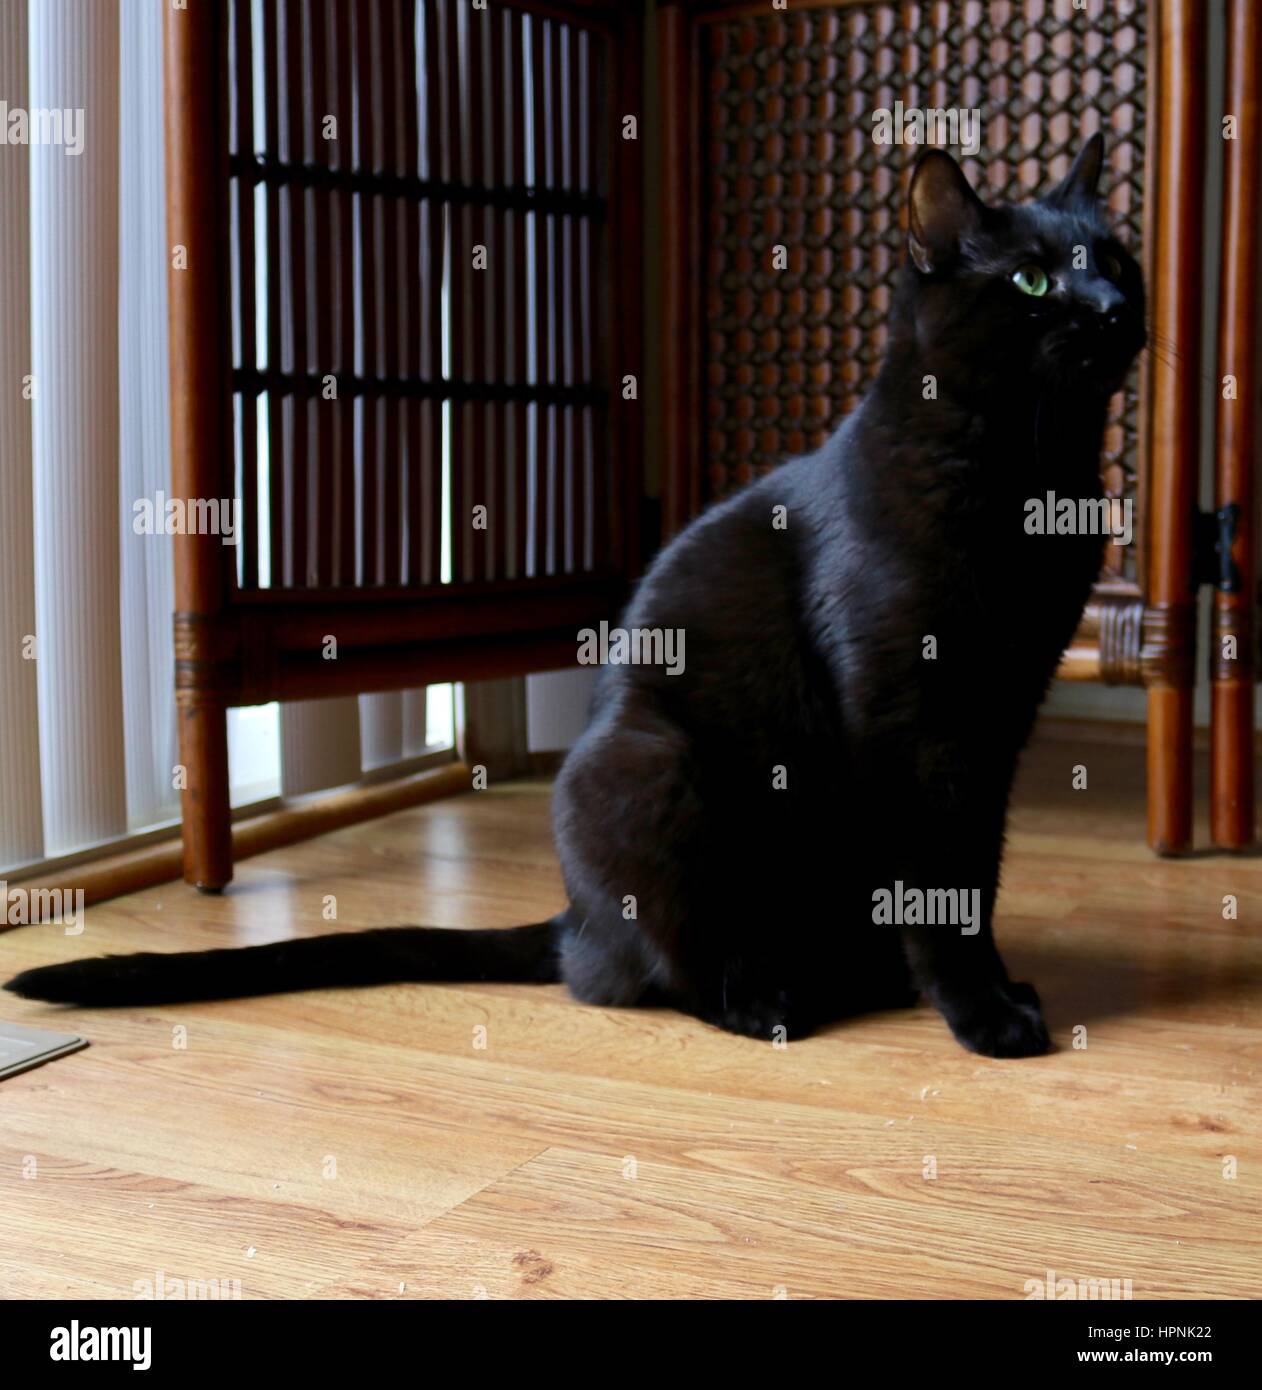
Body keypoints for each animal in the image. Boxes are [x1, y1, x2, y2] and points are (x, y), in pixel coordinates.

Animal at [4, 138, 1145, 1050]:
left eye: (1117, 257)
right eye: (1032, 280)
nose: (1110, 308)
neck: (1026, 472)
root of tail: (570, 915)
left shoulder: (997, 721)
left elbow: (975, 875)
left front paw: (992, 988)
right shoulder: (910, 729)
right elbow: (938, 882)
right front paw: (980, 1016)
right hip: (652, 768)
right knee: (652, 974)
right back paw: (772, 998)